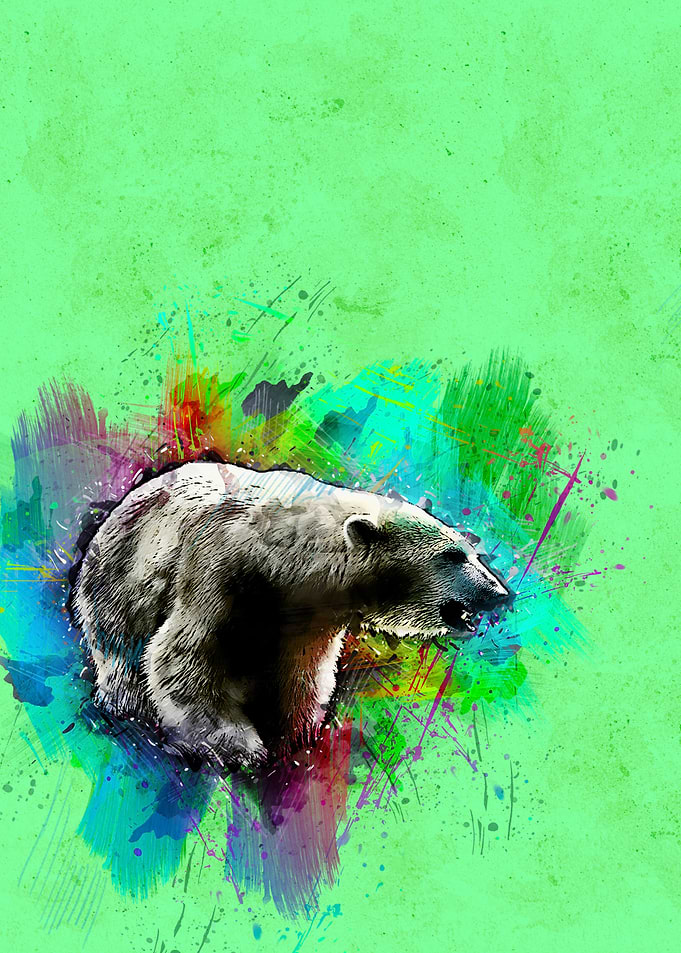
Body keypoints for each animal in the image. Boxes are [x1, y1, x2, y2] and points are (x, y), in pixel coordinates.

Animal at [71, 461, 511, 769]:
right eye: (451, 555)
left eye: (471, 550)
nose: (499, 593)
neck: (282, 559)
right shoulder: (218, 570)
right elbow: (183, 657)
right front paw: (236, 748)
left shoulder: (306, 618)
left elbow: (300, 675)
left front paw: (295, 735)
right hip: (116, 584)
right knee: (122, 653)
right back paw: (129, 707)